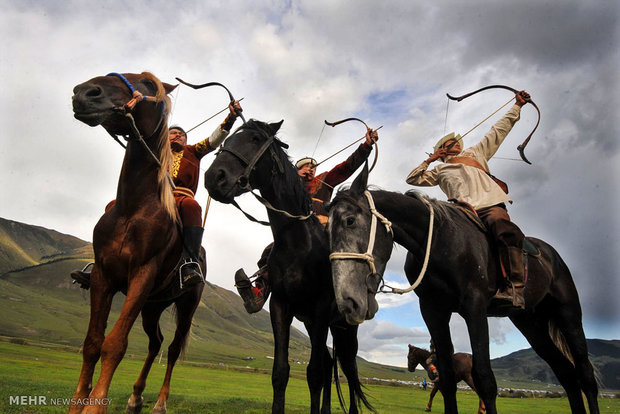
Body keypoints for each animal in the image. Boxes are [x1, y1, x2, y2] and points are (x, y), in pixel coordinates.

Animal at [70, 73, 205, 412]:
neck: (132, 208)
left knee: (172, 349)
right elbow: (92, 343)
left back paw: (160, 402)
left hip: (185, 305)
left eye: (146, 83)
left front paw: (95, 405)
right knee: (155, 343)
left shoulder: (142, 276)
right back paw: (135, 396)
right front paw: (78, 402)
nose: (84, 92)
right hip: (152, 306)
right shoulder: (103, 276)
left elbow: (115, 344)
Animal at [203, 119, 370, 414]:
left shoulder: (320, 308)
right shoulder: (281, 306)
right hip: (316, 325)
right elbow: (281, 372)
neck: (298, 243)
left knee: (350, 372)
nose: (214, 177)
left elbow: (314, 373)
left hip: (344, 328)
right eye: (230, 137)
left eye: (255, 139)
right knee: (331, 363)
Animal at [326, 164, 600, 414]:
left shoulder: (474, 308)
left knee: (585, 375)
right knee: (566, 374)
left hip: (568, 314)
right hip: (530, 323)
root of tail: (551, 254)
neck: (439, 242)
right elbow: (447, 380)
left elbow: (486, 380)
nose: (348, 302)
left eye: (350, 221)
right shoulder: (433, 311)